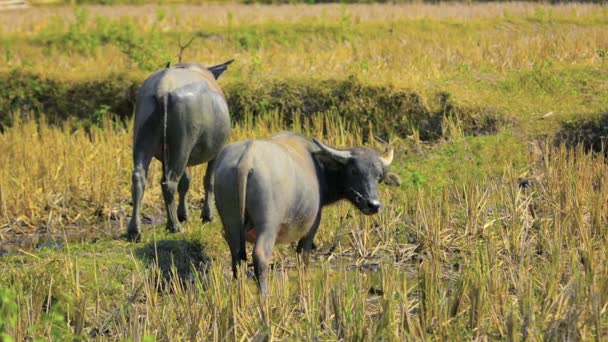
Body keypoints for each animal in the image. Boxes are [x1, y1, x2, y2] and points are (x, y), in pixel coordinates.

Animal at [126, 60, 233, 242]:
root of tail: (162, 89)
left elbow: (185, 182)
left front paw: (183, 214)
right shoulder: (217, 151)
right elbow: (209, 180)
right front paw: (207, 216)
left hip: (144, 140)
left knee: (139, 178)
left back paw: (134, 230)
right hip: (182, 144)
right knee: (169, 183)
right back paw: (174, 226)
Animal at [211, 132, 402, 294]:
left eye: (379, 176)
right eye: (354, 170)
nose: (373, 205)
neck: (320, 168)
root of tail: (246, 159)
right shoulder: (312, 225)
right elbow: (303, 256)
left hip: (231, 223)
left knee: (238, 255)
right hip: (268, 225)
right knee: (260, 255)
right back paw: (264, 294)